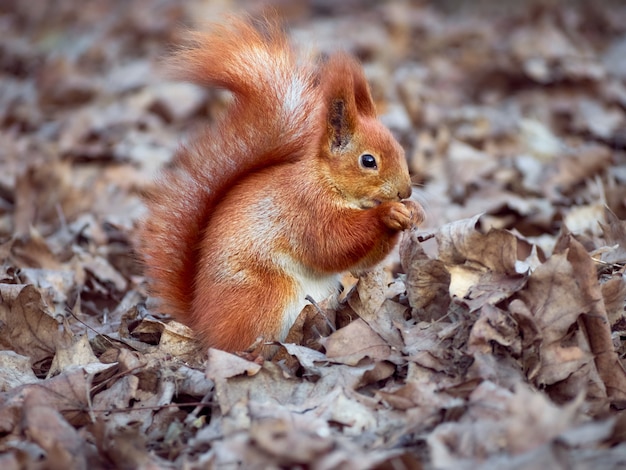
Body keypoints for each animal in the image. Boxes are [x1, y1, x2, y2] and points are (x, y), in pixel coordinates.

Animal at [138, 15, 424, 352]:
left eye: (401, 148)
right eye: (368, 161)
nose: (405, 191)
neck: (327, 182)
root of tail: (201, 324)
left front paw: (413, 210)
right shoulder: (306, 209)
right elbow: (334, 243)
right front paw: (388, 214)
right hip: (266, 294)